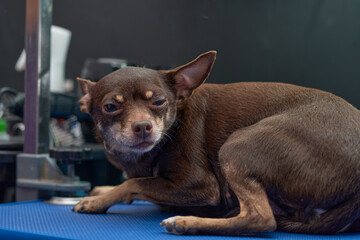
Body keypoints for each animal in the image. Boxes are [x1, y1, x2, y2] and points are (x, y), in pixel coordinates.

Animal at [73, 50, 360, 234]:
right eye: (110, 107)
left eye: (159, 101)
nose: (143, 126)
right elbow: (133, 181)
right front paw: (101, 190)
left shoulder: (200, 185)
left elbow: (133, 183)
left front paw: (97, 201)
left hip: (235, 147)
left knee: (261, 220)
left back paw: (186, 223)